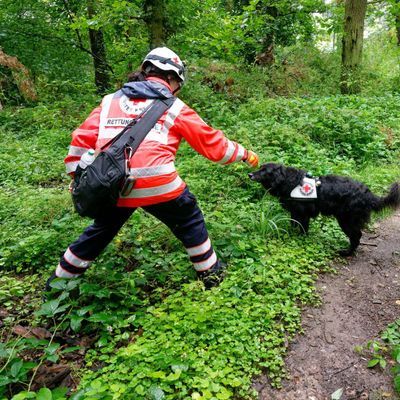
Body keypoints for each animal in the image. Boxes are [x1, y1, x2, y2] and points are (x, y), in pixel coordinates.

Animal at [248, 162, 398, 256]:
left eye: (264, 171)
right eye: (260, 167)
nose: (250, 174)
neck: (289, 181)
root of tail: (368, 194)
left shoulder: (303, 214)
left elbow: (303, 229)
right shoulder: (294, 213)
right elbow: (293, 225)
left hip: (346, 220)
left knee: (356, 236)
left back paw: (346, 253)